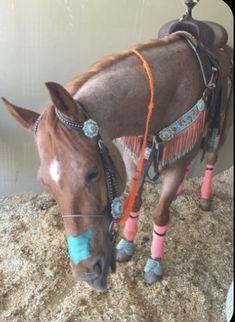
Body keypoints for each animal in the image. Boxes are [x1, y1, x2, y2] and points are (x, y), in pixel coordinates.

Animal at [2, 31, 233, 290]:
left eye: (92, 173)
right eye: (44, 183)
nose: (87, 274)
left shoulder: (172, 164)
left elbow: (160, 213)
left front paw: (154, 264)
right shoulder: (133, 157)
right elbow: (135, 202)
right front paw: (126, 245)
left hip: (221, 128)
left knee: (211, 156)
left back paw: (205, 197)